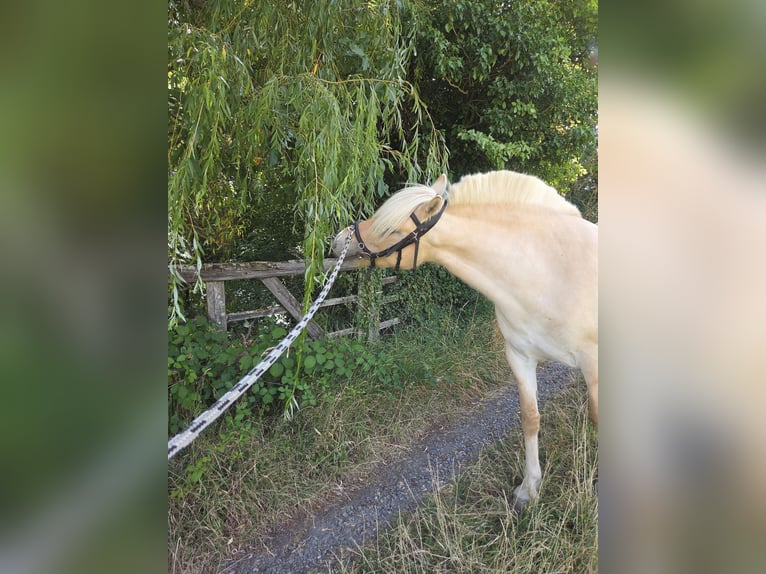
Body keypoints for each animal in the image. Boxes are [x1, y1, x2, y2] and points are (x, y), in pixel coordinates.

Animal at [332, 170, 598, 508]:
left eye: (390, 229)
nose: (340, 240)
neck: (548, 273)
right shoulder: (520, 357)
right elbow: (530, 417)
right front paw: (528, 489)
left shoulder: (594, 366)